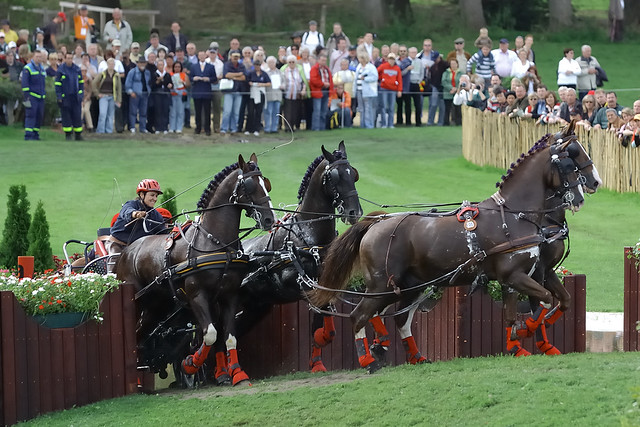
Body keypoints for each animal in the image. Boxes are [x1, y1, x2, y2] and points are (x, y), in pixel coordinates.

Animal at [115, 155, 276, 384]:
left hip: (156, 307)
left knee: (139, 336)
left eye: (266, 183)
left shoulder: (228, 295)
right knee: (133, 337)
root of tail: (126, 252)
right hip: (137, 303)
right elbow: (210, 334)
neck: (213, 241)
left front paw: (235, 373)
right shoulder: (196, 295)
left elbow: (228, 337)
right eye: (250, 185)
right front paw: (190, 364)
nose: (270, 219)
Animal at [312, 135, 596, 372]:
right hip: (381, 286)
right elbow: (545, 300)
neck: (513, 215)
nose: (586, 191)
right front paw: (526, 331)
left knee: (399, 319)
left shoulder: (519, 277)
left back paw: (412, 356)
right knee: (360, 315)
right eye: (570, 163)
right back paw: (368, 359)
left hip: (410, 286)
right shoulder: (516, 275)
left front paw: (518, 343)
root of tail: (375, 223)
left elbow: (528, 309)